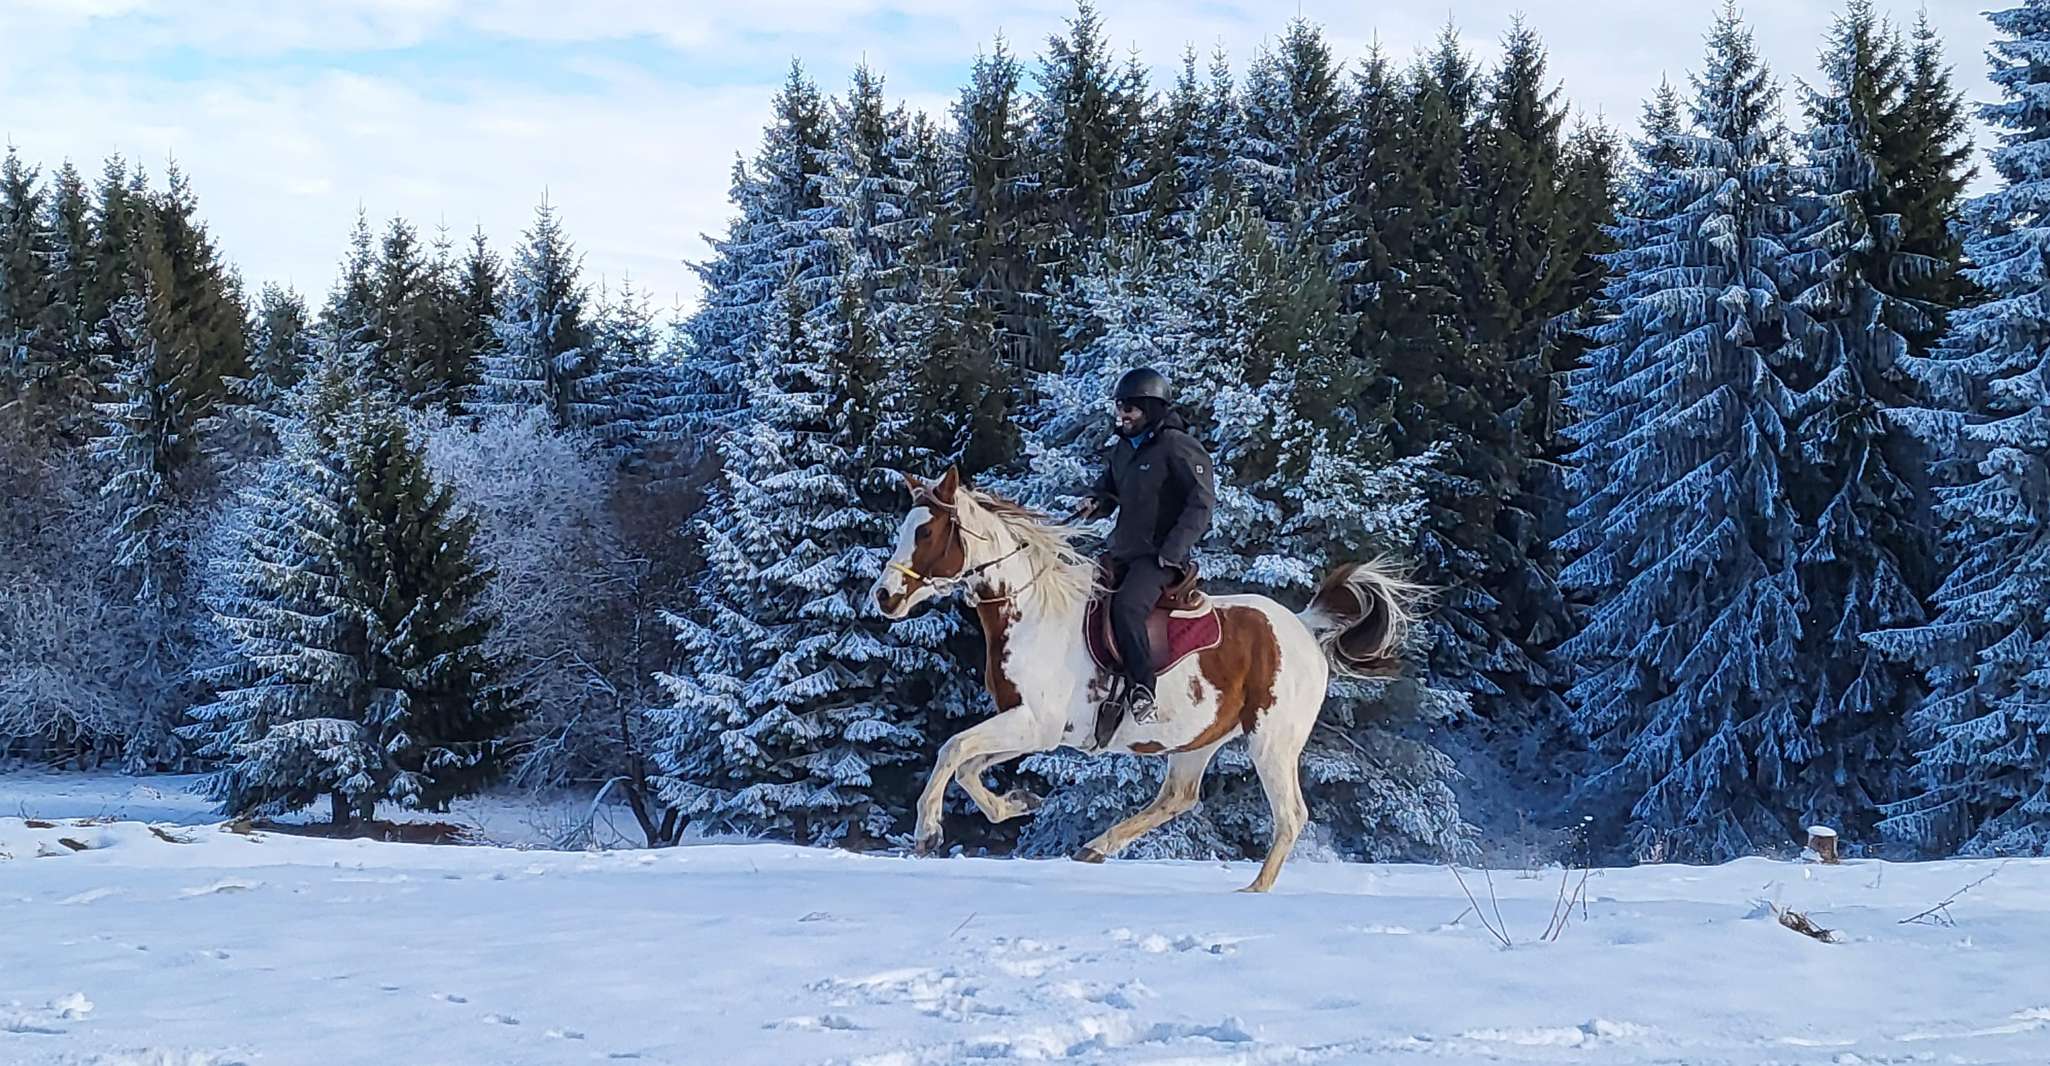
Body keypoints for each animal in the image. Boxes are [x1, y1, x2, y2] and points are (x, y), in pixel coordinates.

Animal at [865, 467, 1426, 889]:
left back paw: (1254, 890)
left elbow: (952, 751)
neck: (1034, 611)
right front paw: (1018, 802)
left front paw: (927, 832)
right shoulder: (1030, 728)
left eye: (927, 532)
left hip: (1272, 741)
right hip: (1198, 741)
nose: (885, 597)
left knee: (1290, 816)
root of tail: (1304, 628)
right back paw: (1095, 847)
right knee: (1178, 797)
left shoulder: (1034, 724)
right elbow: (967, 767)